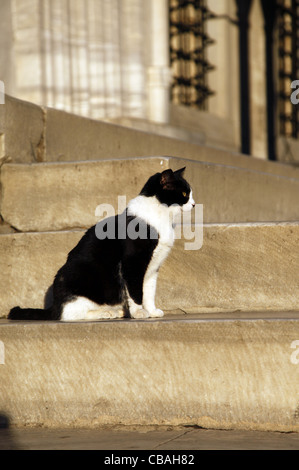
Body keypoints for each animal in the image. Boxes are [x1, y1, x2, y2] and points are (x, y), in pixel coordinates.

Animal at [8, 167, 196, 322]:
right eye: (184, 194)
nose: (194, 204)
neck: (161, 218)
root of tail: (53, 306)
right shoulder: (133, 263)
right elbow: (136, 292)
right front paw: (139, 313)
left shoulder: (153, 267)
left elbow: (148, 292)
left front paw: (151, 311)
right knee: (69, 314)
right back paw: (107, 313)